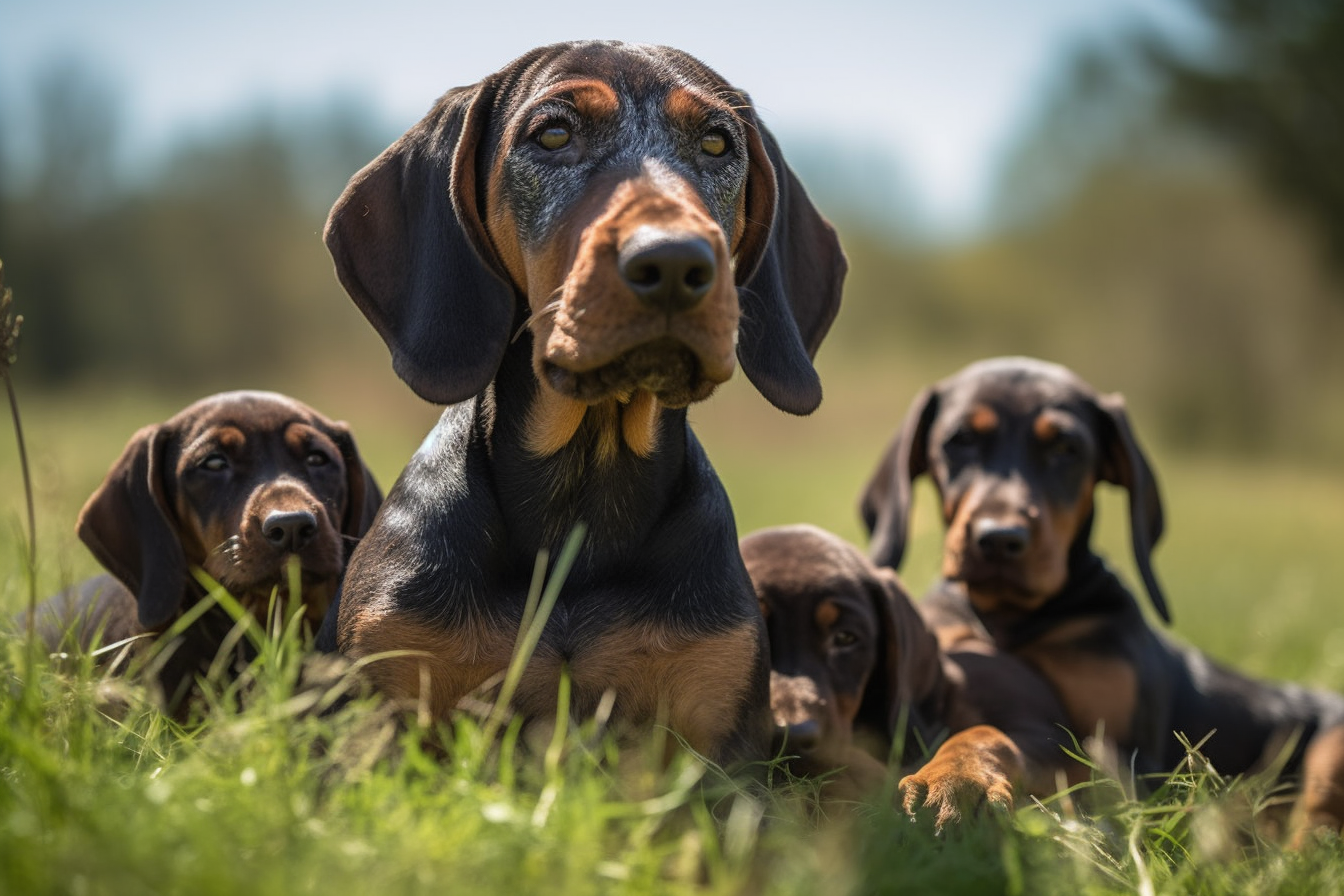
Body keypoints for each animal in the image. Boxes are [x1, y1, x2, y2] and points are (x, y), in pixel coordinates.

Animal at [317, 38, 838, 763]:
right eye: (554, 134)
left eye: (715, 143)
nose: (674, 263)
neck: (582, 489)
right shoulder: (383, 701)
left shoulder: (719, 727)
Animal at [860, 354, 1344, 843]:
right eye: (959, 440)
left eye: (1066, 448)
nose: (998, 539)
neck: (1013, 620)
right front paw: (945, 779)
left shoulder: (1127, 763)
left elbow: (993, 731)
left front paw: (957, 782)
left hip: (1332, 744)